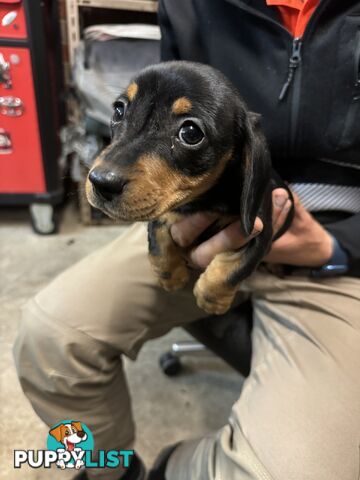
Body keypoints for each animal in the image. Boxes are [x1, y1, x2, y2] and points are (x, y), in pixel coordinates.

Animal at [86, 61, 292, 316]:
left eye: (191, 133)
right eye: (118, 110)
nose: (100, 182)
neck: (201, 201)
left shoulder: (259, 227)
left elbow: (236, 267)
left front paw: (211, 298)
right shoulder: (163, 210)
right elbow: (157, 241)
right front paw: (171, 277)